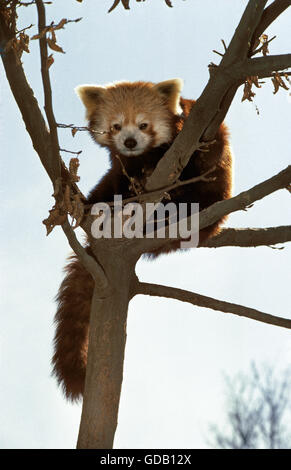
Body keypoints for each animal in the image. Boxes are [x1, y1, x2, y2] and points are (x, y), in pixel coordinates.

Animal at [52, 78, 233, 400]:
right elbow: (117, 177)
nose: (130, 142)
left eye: (144, 124)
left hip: (211, 195)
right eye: (115, 126)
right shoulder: (119, 167)